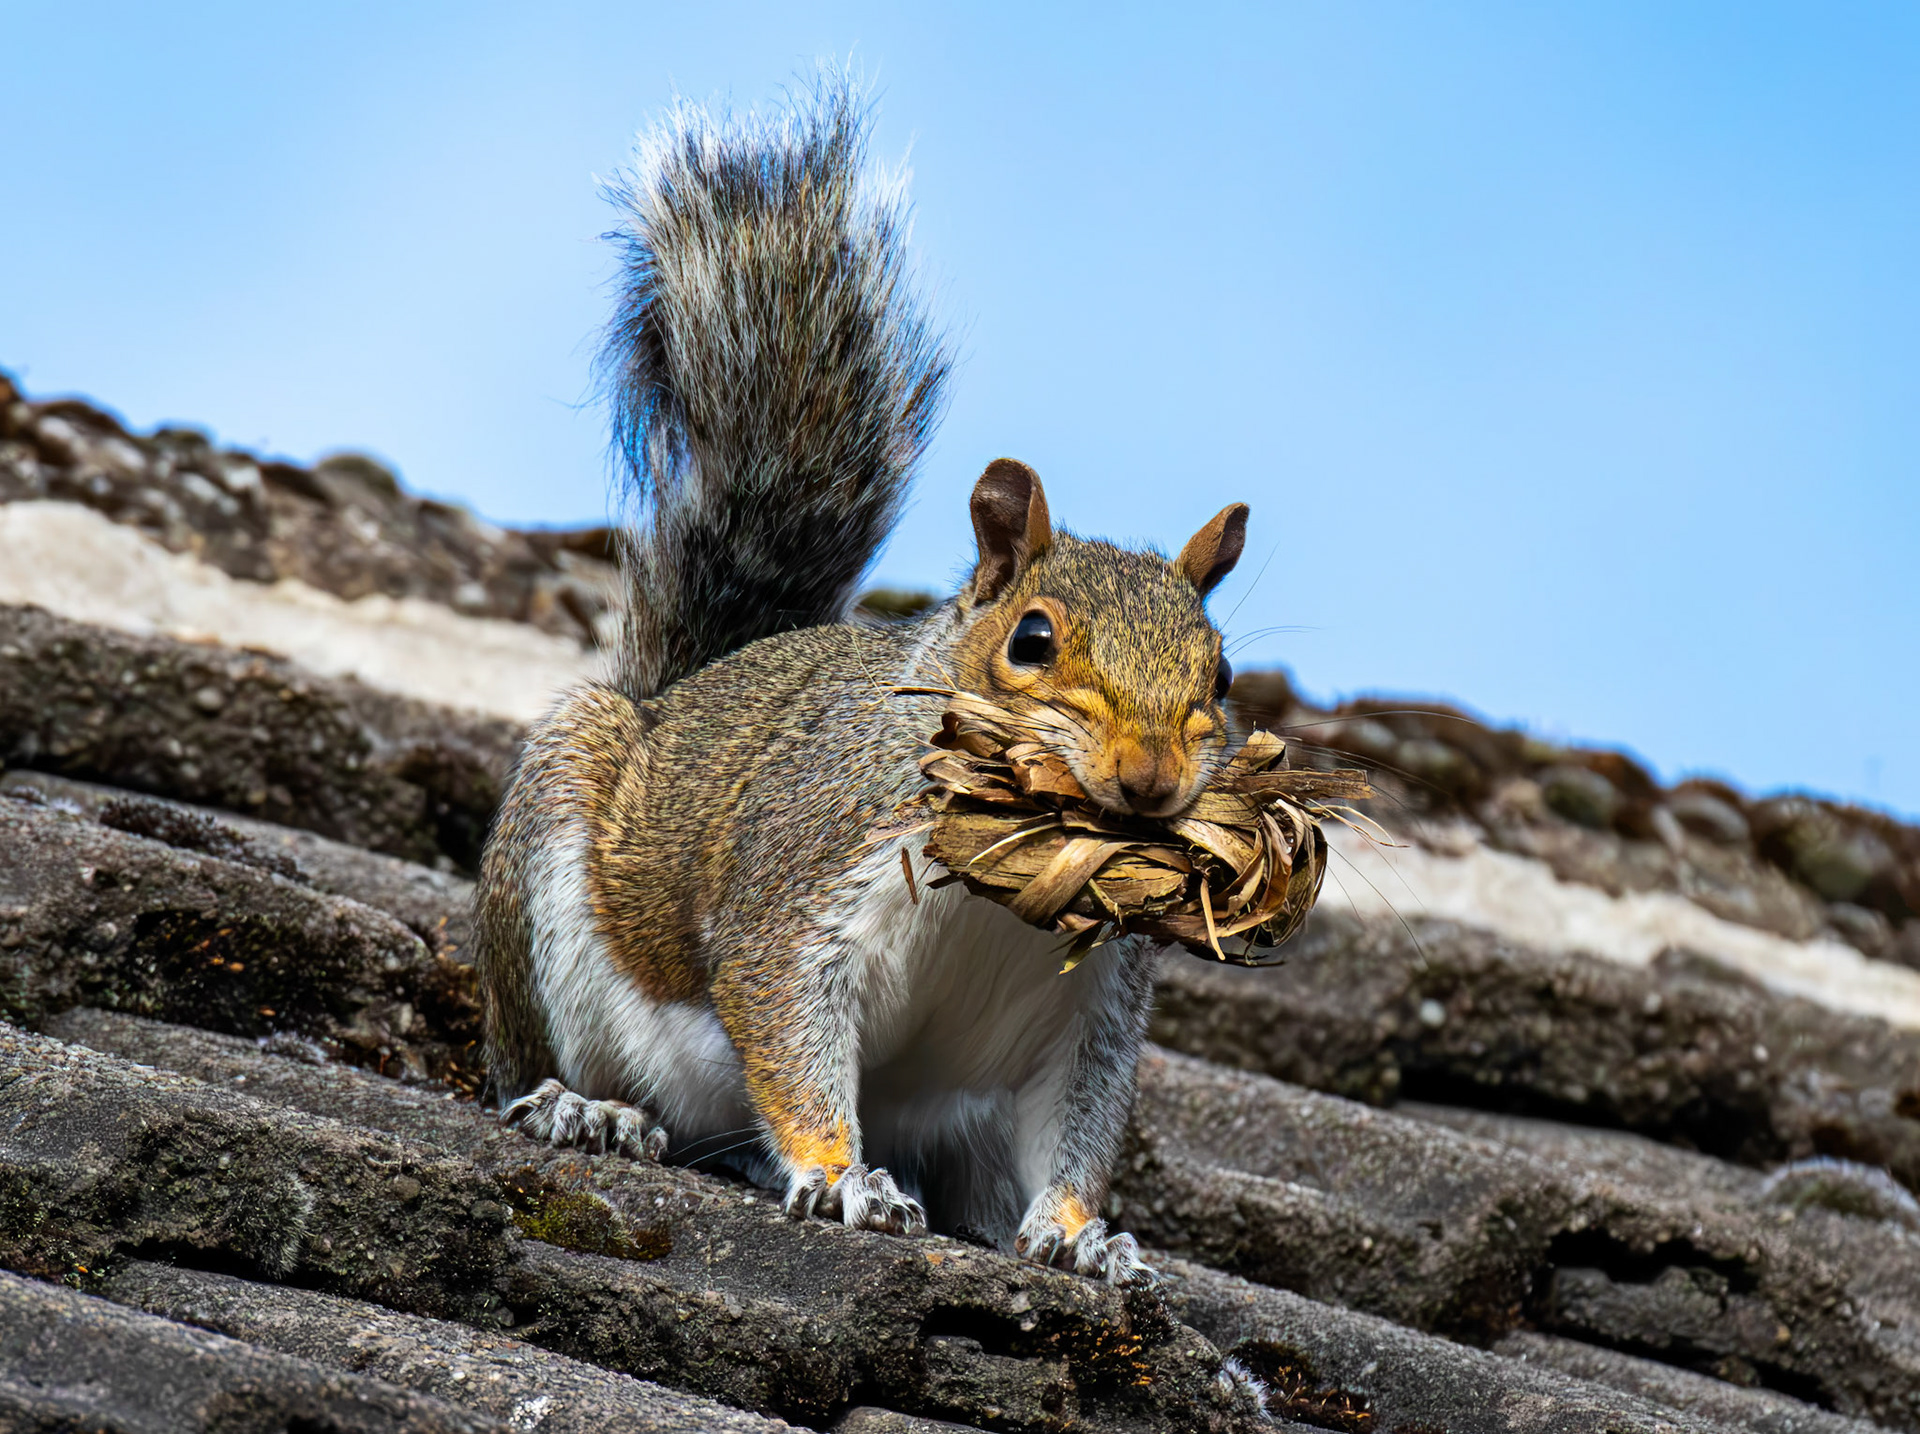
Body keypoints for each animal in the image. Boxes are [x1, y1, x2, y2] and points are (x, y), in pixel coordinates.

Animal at [475, 79, 1248, 1285]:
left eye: (1221, 670)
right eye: (1031, 640)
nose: (1150, 779)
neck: (1009, 879)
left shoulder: (1091, 1006)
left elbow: (1078, 1124)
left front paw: (1083, 1235)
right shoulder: (809, 880)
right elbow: (786, 1018)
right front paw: (843, 1177)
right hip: (555, 889)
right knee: (551, 1065)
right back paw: (584, 1108)